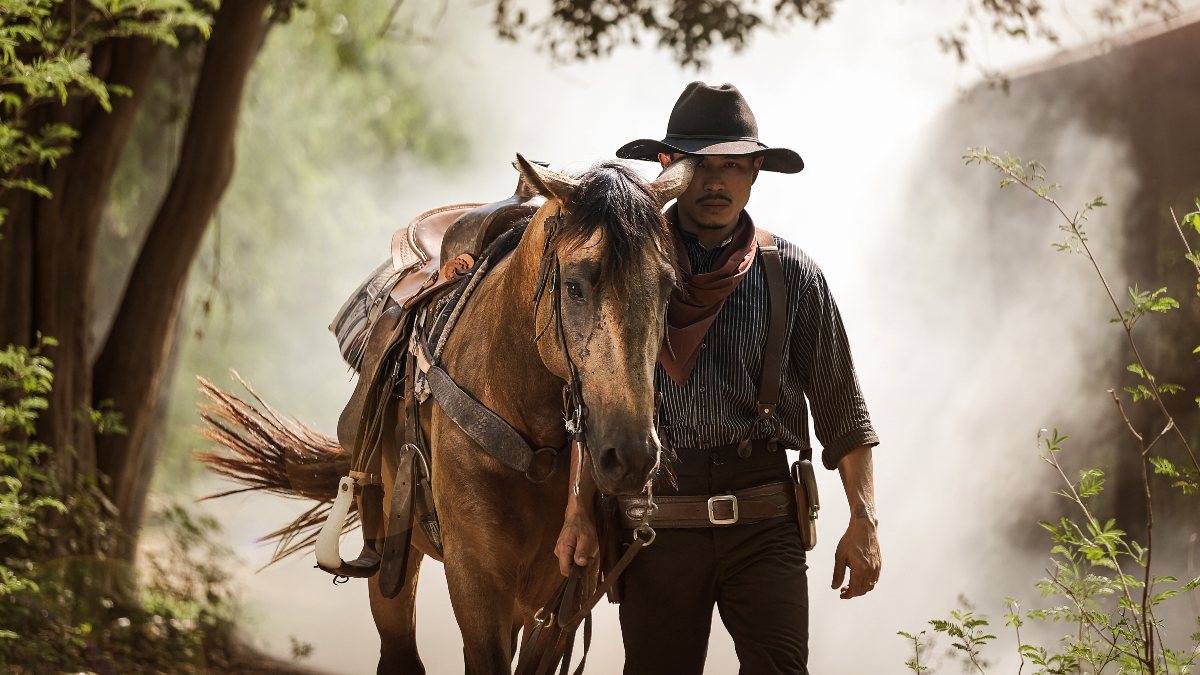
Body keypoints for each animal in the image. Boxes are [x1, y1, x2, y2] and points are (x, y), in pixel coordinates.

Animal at [201, 154, 700, 667]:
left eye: (668, 289)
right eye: (576, 286)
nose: (632, 457)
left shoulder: (560, 605)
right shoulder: (476, 585)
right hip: (393, 561)